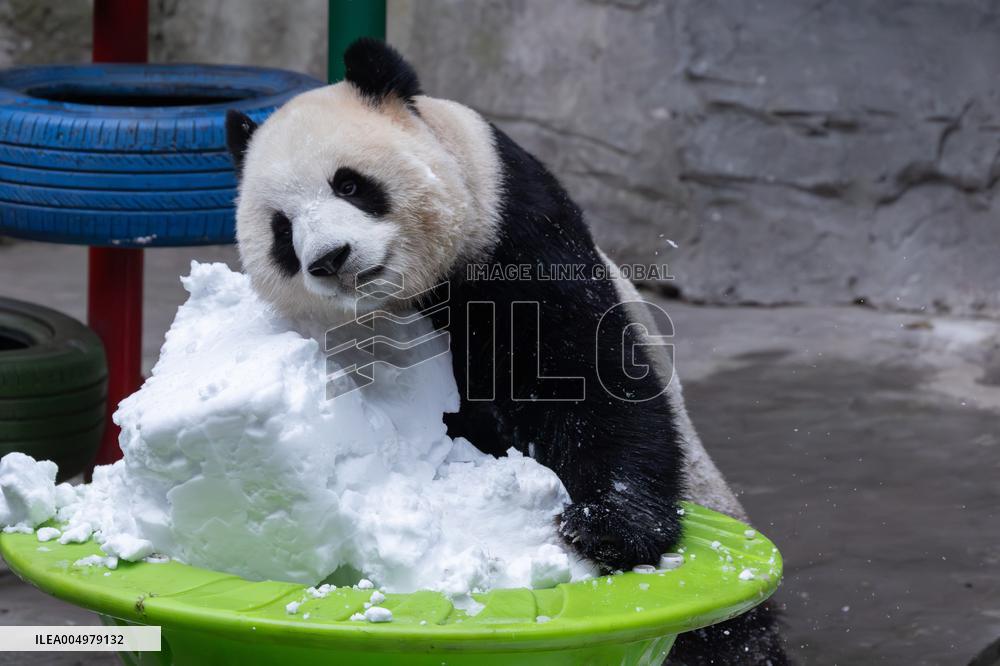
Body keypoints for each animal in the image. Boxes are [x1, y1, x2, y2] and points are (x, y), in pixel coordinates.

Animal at [226, 38, 787, 665]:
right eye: (281, 230)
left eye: (349, 185)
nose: (330, 257)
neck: (421, 291)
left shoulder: (514, 230)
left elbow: (585, 375)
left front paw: (604, 527)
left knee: (732, 638)